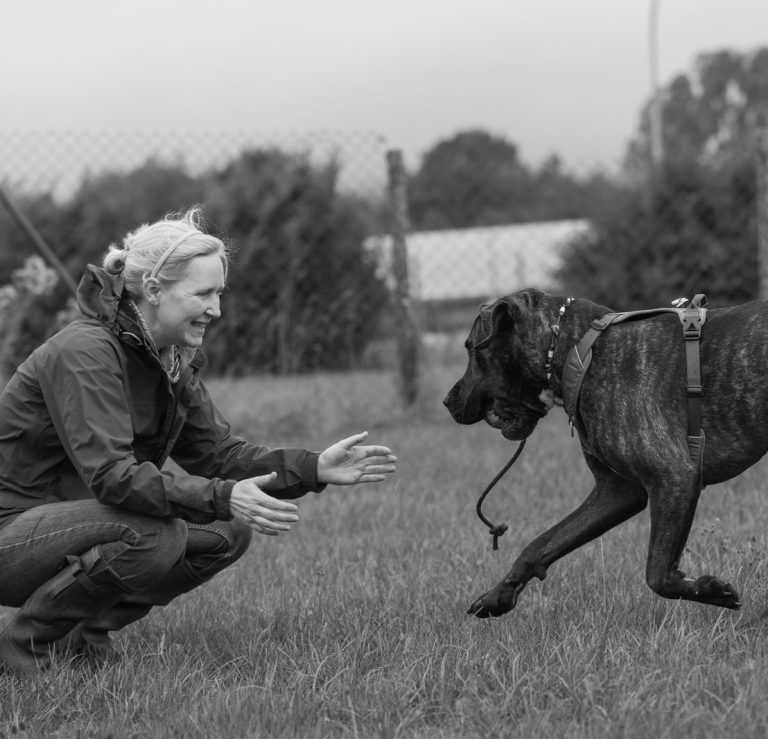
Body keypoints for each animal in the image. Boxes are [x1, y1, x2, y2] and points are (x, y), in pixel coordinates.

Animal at [444, 290, 768, 620]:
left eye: (471, 349)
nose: (447, 401)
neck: (575, 350)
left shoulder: (674, 479)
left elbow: (657, 574)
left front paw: (709, 590)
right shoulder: (617, 492)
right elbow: (543, 543)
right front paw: (498, 596)